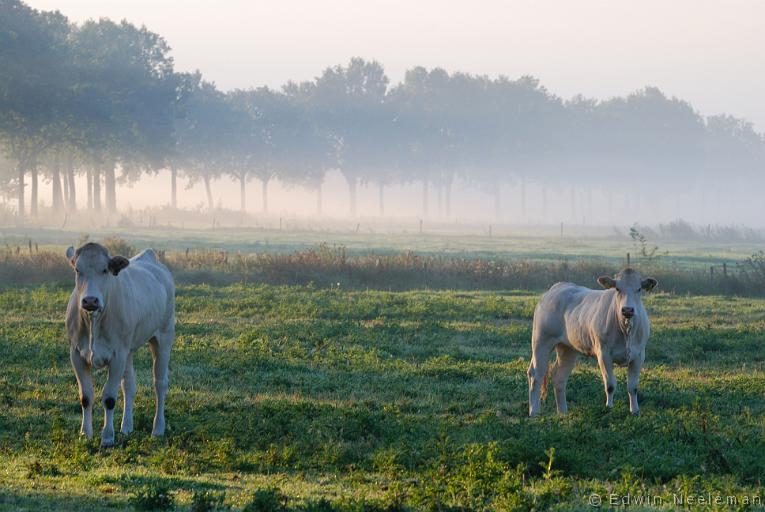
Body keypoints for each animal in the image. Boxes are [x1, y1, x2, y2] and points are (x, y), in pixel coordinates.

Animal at [65, 242, 175, 446]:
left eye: (105, 270)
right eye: (77, 270)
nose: (90, 300)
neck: (94, 321)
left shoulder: (117, 356)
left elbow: (109, 397)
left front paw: (108, 437)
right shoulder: (76, 354)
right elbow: (86, 396)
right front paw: (85, 433)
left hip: (164, 336)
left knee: (160, 384)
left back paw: (158, 428)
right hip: (129, 350)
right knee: (129, 385)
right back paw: (126, 427)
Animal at [524, 268, 656, 416]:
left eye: (639, 289)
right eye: (617, 288)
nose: (627, 309)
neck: (626, 331)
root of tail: (557, 287)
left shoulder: (639, 354)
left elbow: (632, 387)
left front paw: (635, 411)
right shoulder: (603, 354)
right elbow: (610, 385)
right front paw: (608, 408)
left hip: (568, 348)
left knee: (559, 376)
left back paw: (563, 413)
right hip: (541, 341)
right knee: (536, 374)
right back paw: (534, 412)